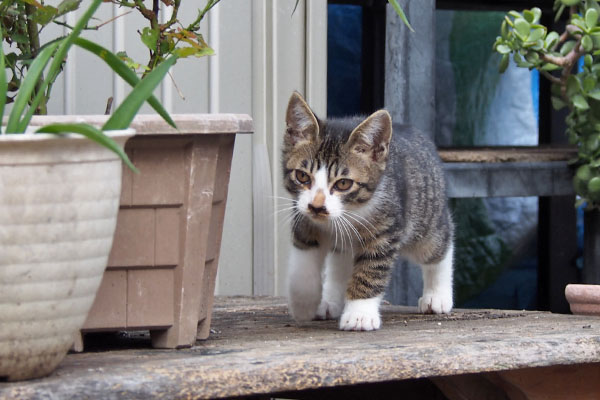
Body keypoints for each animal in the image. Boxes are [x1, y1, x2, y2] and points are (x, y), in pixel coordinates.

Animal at [282, 91, 454, 332]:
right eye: (302, 176)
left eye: (343, 183)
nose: (317, 206)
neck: (349, 213)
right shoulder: (303, 216)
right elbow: (303, 260)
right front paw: (303, 302)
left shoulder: (386, 229)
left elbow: (371, 271)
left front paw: (359, 314)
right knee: (340, 261)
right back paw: (331, 301)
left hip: (425, 216)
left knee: (439, 245)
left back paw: (437, 295)